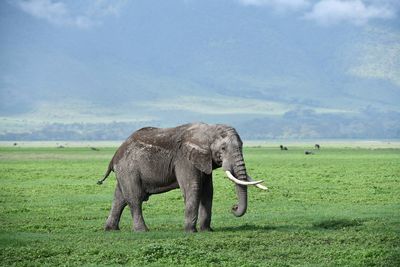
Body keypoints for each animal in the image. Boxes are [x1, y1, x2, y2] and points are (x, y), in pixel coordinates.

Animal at [97, 122, 268, 233]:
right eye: (223, 149)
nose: (233, 208)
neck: (208, 130)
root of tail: (115, 155)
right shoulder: (184, 159)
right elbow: (193, 188)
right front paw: (190, 231)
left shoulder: (203, 160)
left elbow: (208, 191)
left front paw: (207, 231)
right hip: (128, 169)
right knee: (134, 198)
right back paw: (142, 231)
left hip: (124, 171)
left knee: (119, 198)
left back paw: (111, 229)